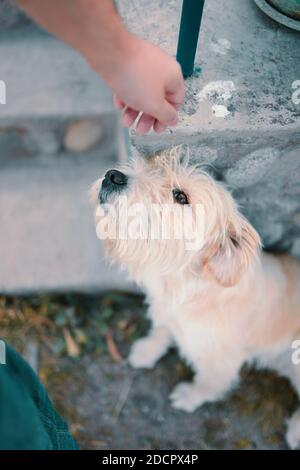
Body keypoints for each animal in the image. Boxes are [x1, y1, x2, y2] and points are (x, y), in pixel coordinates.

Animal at [91, 150, 300, 448]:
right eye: (153, 166)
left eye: (181, 197)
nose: (113, 175)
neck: (185, 288)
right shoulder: (165, 314)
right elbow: (161, 331)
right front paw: (147, 351)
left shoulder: (221, 363)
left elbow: (207, 384)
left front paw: (189, 397)